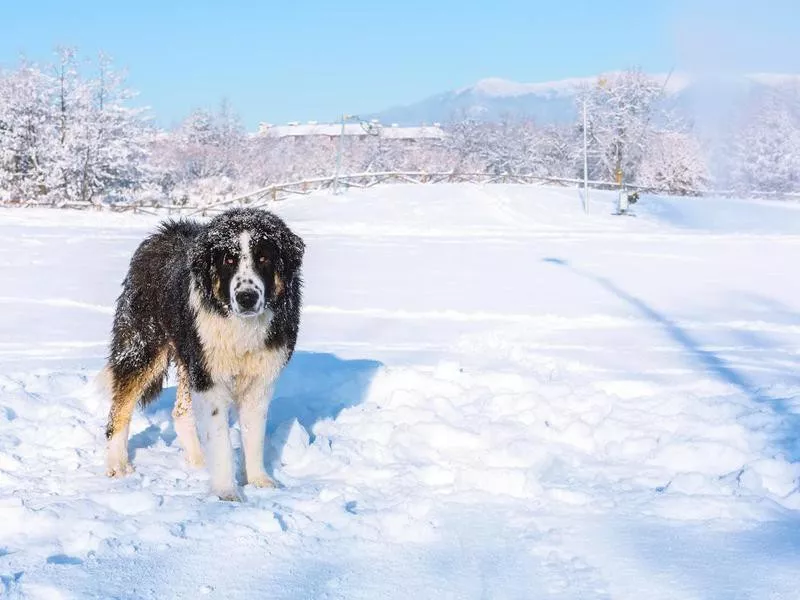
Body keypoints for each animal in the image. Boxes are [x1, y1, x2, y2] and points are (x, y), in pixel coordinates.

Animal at [104, 209, 304, 500]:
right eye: (229, 259)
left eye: (263, 258)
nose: (246, 297)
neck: (240, 327)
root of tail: (161, 233)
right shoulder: (210, 379)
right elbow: (220, 440)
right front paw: (225, 492)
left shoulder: (259, 379)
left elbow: (253, 434)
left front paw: (259, 482)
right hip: (144, 348)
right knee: (119, 410)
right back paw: (116, 465)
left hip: (189, 361)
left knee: (181, 413)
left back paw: (198, 461)